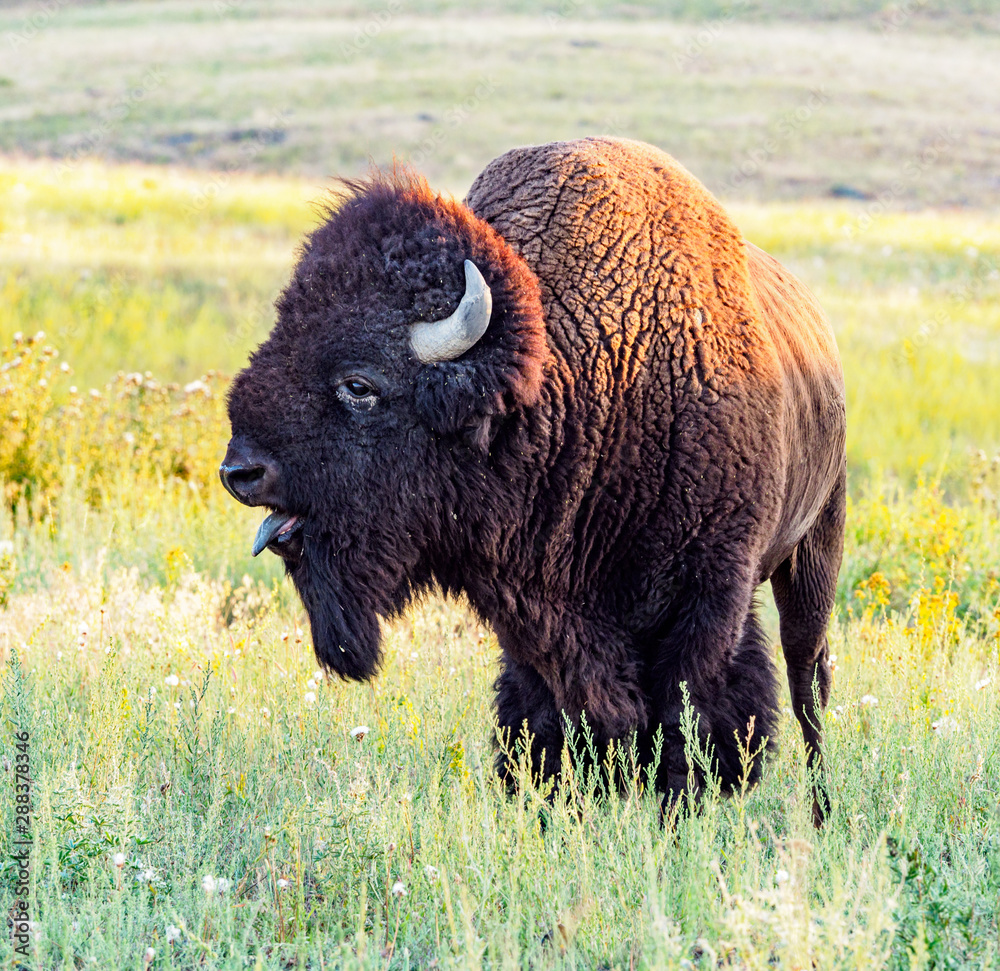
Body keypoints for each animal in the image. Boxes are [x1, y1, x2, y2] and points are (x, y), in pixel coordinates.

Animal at [220, 137, 846, 821]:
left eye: (360, 384)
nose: (239, 471)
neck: (585, 378)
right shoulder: (531, 614)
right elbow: (545, 716)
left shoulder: (709, 596)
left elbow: (694, 715)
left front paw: (678, 807)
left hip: (816, 550)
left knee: (808, 679)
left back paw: (823, 807)